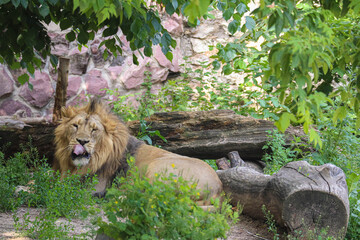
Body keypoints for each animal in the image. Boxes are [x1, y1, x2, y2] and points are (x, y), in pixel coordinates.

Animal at [53, 98, 222, 203]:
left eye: (94, 130)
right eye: (75, 126)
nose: (82, 141)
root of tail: (218, 190)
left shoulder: (96, 186)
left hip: (156, 167)